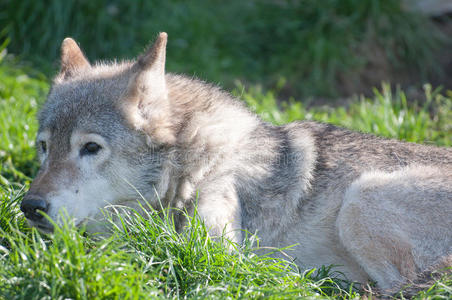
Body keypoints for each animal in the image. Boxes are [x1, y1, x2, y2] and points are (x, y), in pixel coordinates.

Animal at [22, 32, 452, 290]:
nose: (29, 206)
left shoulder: (217, 252)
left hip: (360, 198)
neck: (190, 165)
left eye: (91, 148)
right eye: (44, 147)